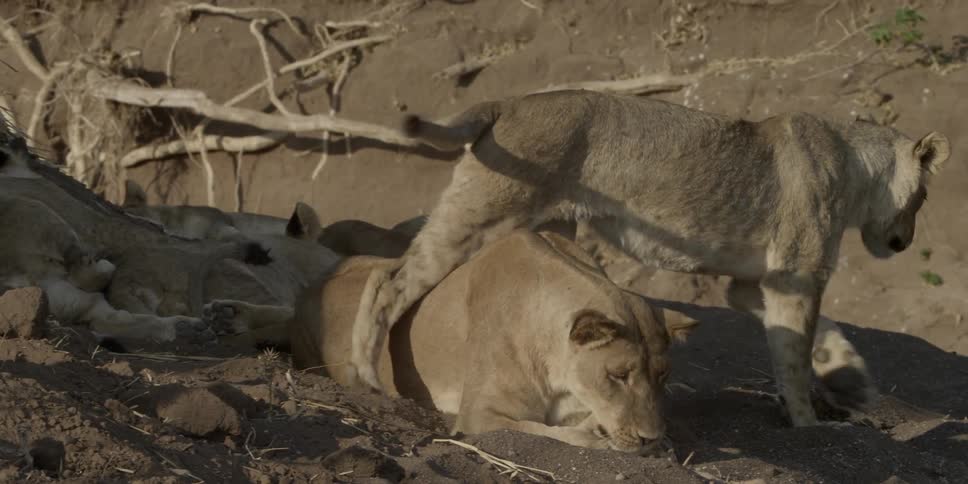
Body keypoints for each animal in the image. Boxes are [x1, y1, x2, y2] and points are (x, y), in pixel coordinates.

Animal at [290, 229, 698, 454]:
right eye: (618, 376)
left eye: (662, 376)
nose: (650, 438)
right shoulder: (479, 414)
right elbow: (537, 432)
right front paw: (598, 438)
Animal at [349, 89, 951, 428]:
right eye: (923, 196)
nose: (903, 241)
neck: (854, 167)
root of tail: (510, 102)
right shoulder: (795, 275)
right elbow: (795, 357)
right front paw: (808, 425)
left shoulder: (755, 284)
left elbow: (819, 339)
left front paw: (852, 384)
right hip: (485, 212)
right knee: (387, 280)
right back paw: (367, 378)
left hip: (547, 224)